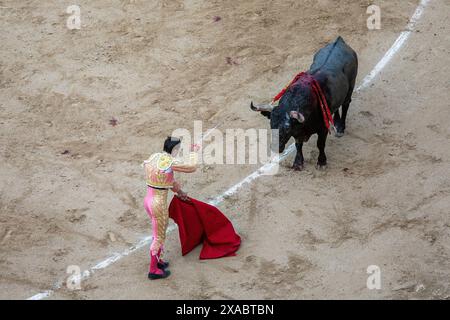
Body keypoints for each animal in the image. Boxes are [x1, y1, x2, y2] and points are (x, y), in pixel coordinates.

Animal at [250, 36, 358, 171]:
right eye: (271, 124)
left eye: (287, 127)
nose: (275, 148)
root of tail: (339, 41)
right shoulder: (298, 133)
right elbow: (298, 145)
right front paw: (298, 163)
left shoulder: (322, 128)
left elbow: (320, 144)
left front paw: (321, 162)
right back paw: (336, 123)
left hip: (351, 86)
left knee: (346, 104)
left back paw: (340, 127)